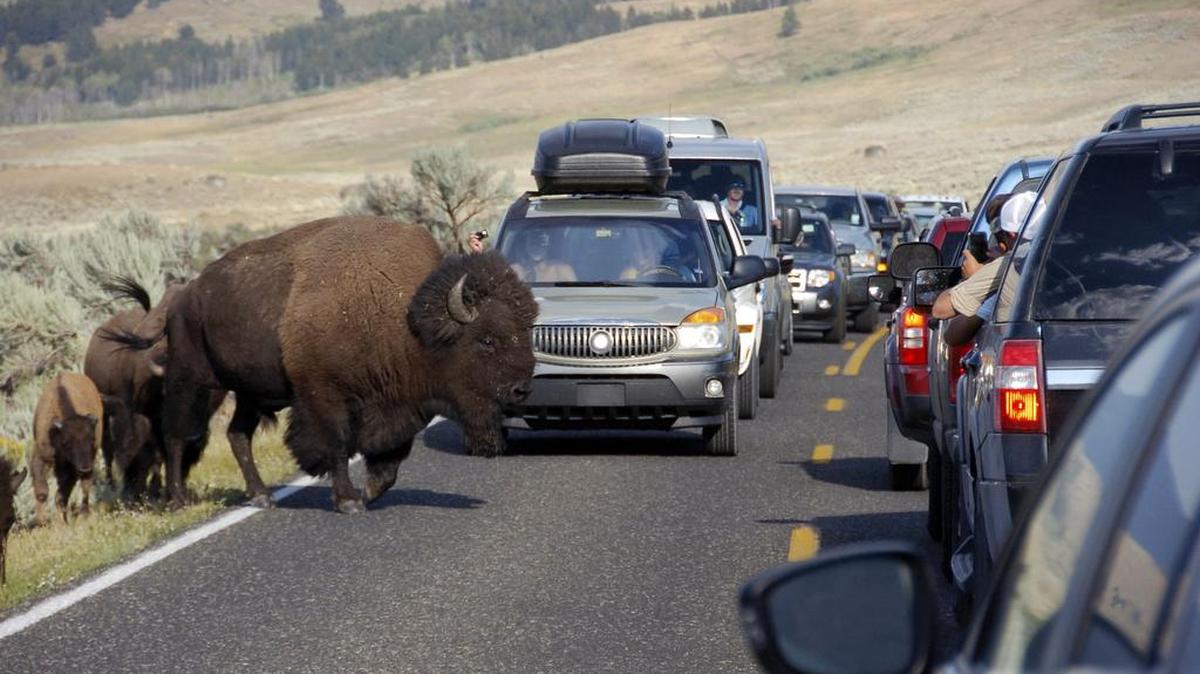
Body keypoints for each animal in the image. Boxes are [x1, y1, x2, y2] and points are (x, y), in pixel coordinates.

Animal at [32, 372, 104, 525]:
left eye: (92, 439)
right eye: (67, 442)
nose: (85, 467)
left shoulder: (72, 469)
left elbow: (61, 495)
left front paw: (61, 523)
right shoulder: (40, 457)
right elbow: (42, 492)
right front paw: (42, 522)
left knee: (85, 487)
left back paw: (83, 515)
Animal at [108, 217, 537, 513]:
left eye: (526, 329)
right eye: (486, 339)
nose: (522, 389)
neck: (406, 320)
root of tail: (181, 297)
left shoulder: (397, 405)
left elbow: (390, 459)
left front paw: (369, 493)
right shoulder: (324, 396)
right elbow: (337, 445)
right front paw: (348, 500)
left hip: (250, 393)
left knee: (237, 435)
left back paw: (261, 496)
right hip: (193, 380)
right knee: (177, 435)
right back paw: (177, 500)